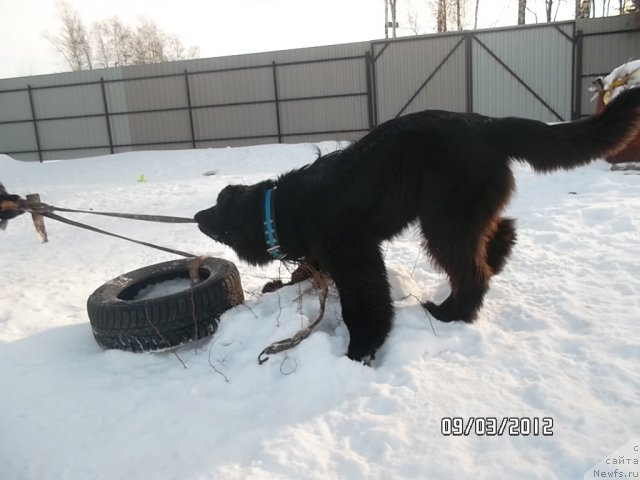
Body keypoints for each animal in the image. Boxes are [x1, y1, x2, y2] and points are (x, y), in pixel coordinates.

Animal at [195, 88, 640, 362]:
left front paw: (362, 350)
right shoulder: (326, 252)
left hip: (444, 218)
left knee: (472, 271)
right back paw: (495, 260)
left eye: (219, 212)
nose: (197, 216)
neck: (281, 208)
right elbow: (308, 270)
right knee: (501, 233)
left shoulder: (353, 254)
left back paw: (450, 313)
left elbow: (365, 303)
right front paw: (281, 286)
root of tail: (489, 124)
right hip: (463, 212)